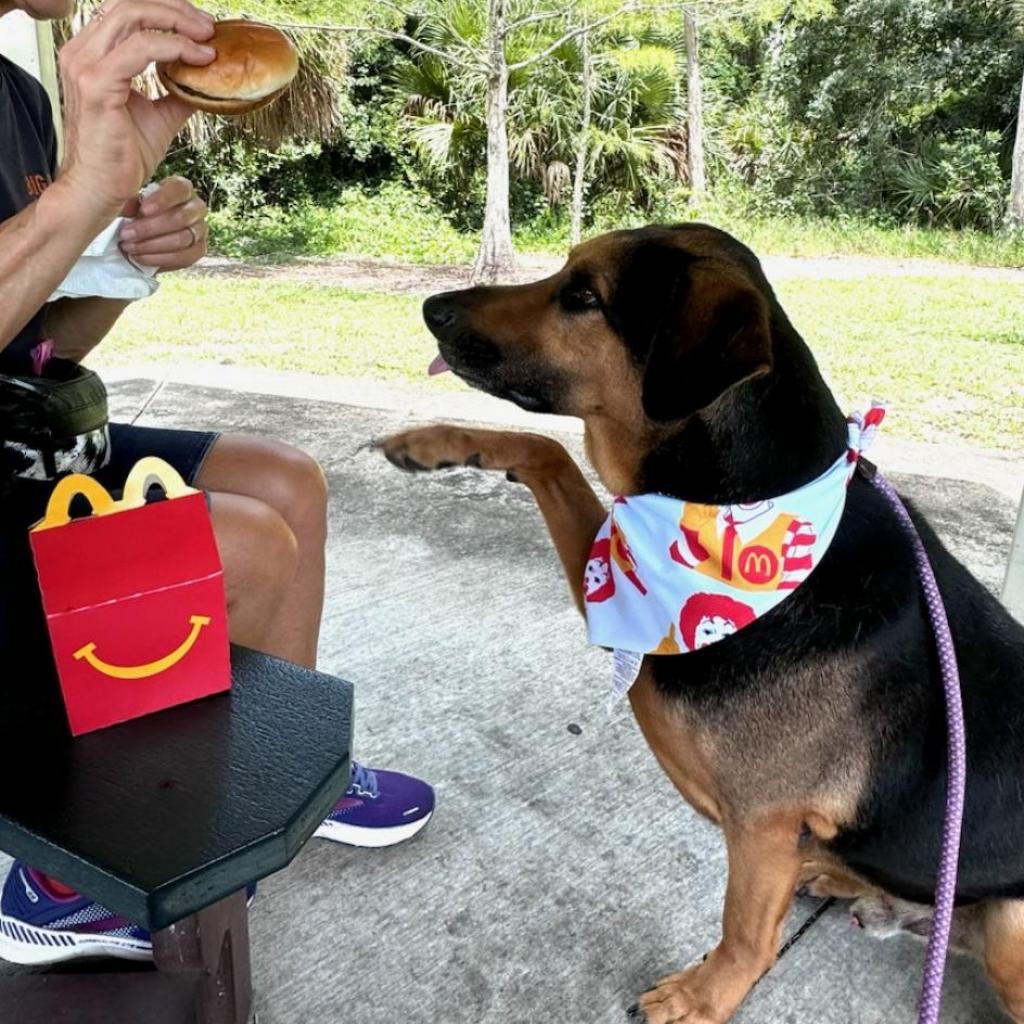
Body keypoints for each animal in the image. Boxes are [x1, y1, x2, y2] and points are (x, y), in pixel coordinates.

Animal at [376, 226, 1024, 1024]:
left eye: (583, 296)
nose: (431, 309)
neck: (748, 505)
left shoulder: (763, 823)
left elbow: (744, 933)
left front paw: (703, 997)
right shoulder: (619, 579)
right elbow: (548, 452)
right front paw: (437, 441)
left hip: (1010, 929)